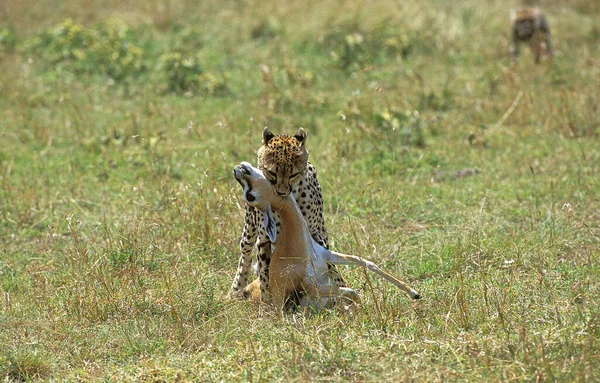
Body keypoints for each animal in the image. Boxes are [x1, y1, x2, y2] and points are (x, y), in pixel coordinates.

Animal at [227, 127, 344, 302]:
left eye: (293, 174)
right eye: (272, 173)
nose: (281, 193)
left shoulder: (313, 236)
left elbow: (327, 264)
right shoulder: (265, 239)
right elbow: (265, 276)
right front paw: (267, 304)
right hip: (249, 231)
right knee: (245, 257)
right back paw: (236, 289)